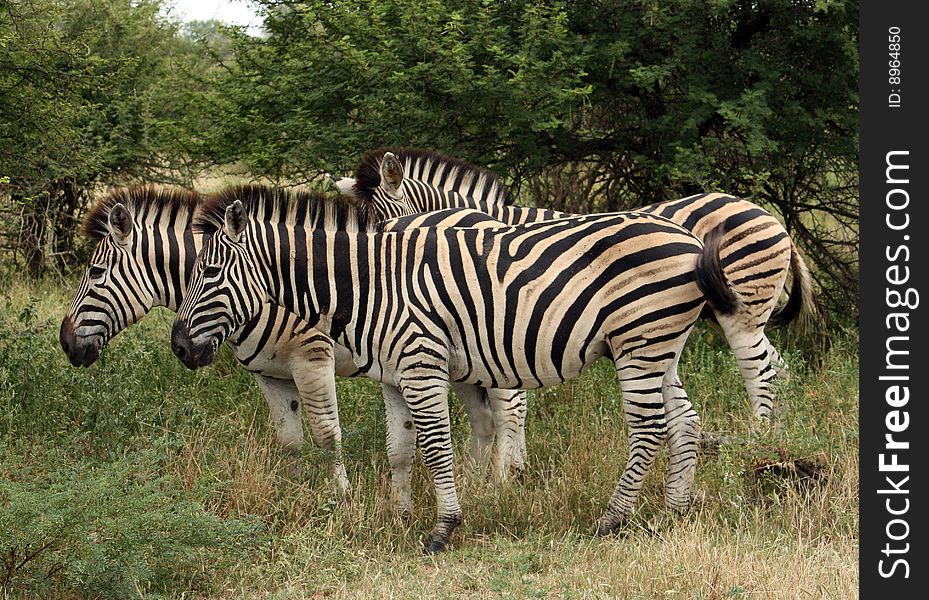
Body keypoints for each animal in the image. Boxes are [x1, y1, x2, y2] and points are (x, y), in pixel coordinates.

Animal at [58, 184, 516, 502]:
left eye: (95, 272)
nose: (65, 343)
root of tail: (485, 216)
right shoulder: (269, 373)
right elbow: (289, 439)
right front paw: (295, 493)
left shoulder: (313, 359)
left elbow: (327, 434)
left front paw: (342, 496)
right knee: (484, 419)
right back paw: (477, 482)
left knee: (508, 408)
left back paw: (506, 480)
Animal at [172, 185, 740, 552]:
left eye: (210, 271)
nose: (178, 347)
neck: (370, 285)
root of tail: (691, 240)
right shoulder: (393, 376)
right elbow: (400, 448)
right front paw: (400, 516)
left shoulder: (423, 364)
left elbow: (436, 447)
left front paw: (444, 528)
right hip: (659, 344)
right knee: (684, 420)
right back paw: (673, 512)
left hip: (640, 339)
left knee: (648, 427)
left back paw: (613, 520)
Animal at [336, 146, 812, 418]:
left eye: (384, 225)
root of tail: (771, 218)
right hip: (735, 312)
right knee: (777, 366)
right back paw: (780, 433)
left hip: (740, 309)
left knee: (759, 370)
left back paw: (758, 436)